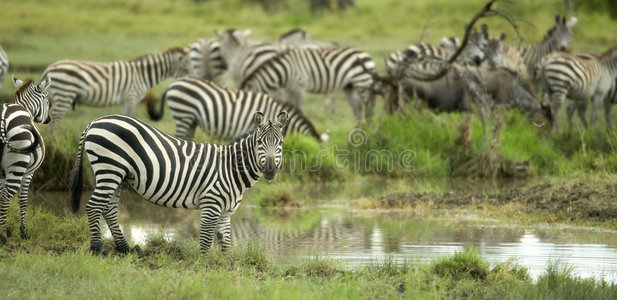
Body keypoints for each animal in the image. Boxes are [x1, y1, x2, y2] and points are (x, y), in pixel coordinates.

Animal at [0, 75, 51, 244]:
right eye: (47, 100)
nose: (49, 119)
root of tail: (4, 117)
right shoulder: (29, 172)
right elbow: (23, 199)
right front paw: (23, 231)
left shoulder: (3, 174)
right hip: (19, 164)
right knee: (6, 197)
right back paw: (3, 236)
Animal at [41, 47, 190, 134]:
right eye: (187, 68)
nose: (192, 81)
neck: (141, 74)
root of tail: (50, 67)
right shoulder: (131, 97)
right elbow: (129, 116)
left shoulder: (128, 99)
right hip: (65, 93)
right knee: (55, 120)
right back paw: (53, 141)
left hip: (59, 95)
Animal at [70, 111, 288, 254]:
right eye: (259, 142)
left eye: (280, 143)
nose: (270, 170)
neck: (230, 168)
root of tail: (95, 121)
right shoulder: (210, 204)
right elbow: (206, 240)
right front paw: (204, 266)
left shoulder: (226, 211)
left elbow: (225, 244)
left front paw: (226, 268)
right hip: (110, 168)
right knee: (93, 206)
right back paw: (98, 249)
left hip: (117, 174)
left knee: (109, 209)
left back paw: (125, 249)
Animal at [238, 46, 376, 120]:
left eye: (247, 103)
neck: (286, 70)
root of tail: (366, 54)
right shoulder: (290, 89)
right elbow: (291, 106)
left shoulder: (299, 87)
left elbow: (299, 107)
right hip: (349, 86)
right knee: (357, 107)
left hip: (362, 82)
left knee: (369, 107)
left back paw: (368, 128)